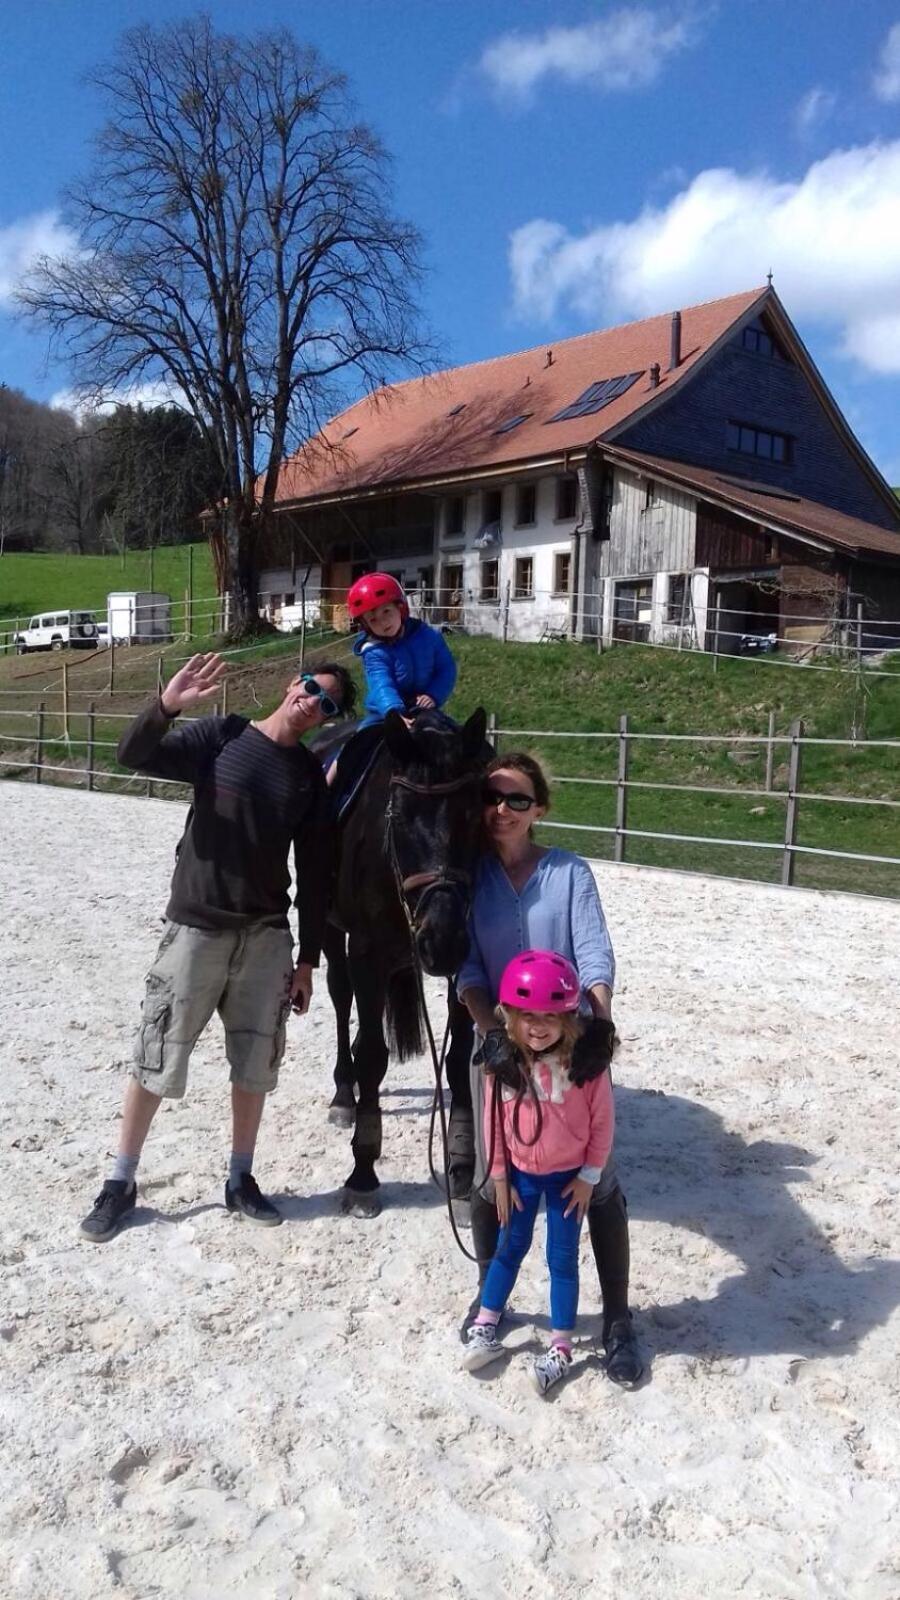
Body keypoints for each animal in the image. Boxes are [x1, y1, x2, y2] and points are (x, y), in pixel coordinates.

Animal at [320, 707, 483, 1216]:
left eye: (476, 814)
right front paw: (363, 1173)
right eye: (401, 816)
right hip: (326, 926)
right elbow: (373, 1055)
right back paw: (343, 1093)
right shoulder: (366, 953)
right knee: (340, 998)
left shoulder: (467, 960)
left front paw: (462, 1169)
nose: (442, 939)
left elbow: (457, 1059)